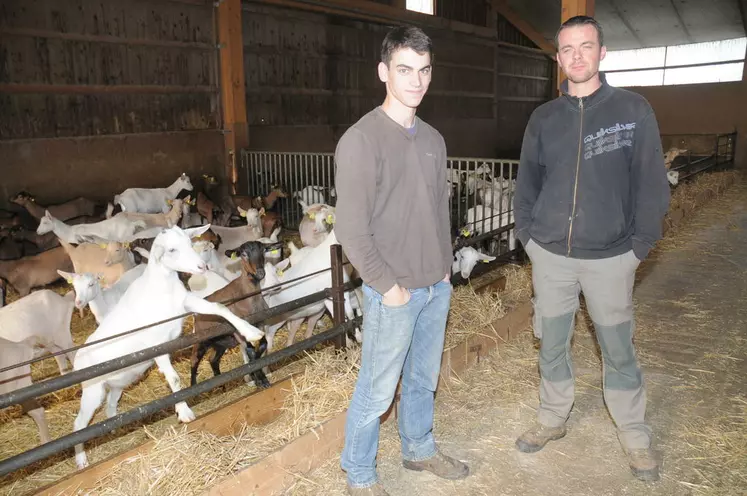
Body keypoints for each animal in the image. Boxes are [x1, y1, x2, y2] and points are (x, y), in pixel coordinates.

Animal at [72, 225, 266, 468]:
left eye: (190, 242)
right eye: (171, 249)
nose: (201, 267)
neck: (160, 288)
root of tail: (77, 359)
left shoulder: (186, 302)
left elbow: (219, 307)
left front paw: (251, 331)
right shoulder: (157, 344)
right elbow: (173, 379)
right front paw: (184, 412)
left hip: (117, 383)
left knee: (110, 406)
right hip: (92, 389)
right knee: (79, 424)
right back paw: (81, 460)